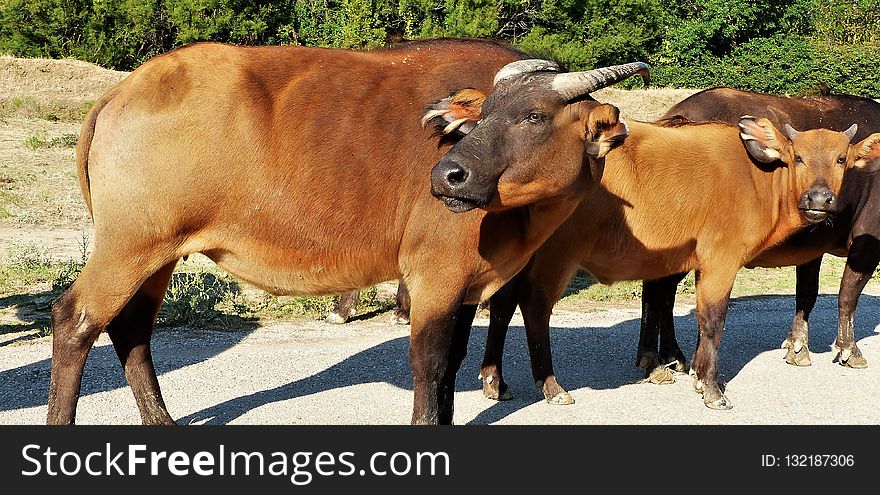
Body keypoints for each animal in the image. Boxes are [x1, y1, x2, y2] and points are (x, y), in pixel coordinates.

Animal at [53, 39, 648, 426]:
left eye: (533, 116)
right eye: (480, 119)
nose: (447, 175)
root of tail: (123, 90)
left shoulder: (466, 288)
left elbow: (452, 371)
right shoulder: (433, 280)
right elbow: (430, 372)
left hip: (159, 252)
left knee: (131, 328)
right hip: (129, 246)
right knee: (76, 319)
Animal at [436, 81, 880, 408]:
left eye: (842, 159)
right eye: (798, 157)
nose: (820, 199)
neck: (757, 176)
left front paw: (699, 374)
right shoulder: (721, 260)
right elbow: (713, 320)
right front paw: (712, 389)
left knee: (504, 304)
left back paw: (496, 380)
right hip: (555, 255)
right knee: (534, 306)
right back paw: (551, 386)